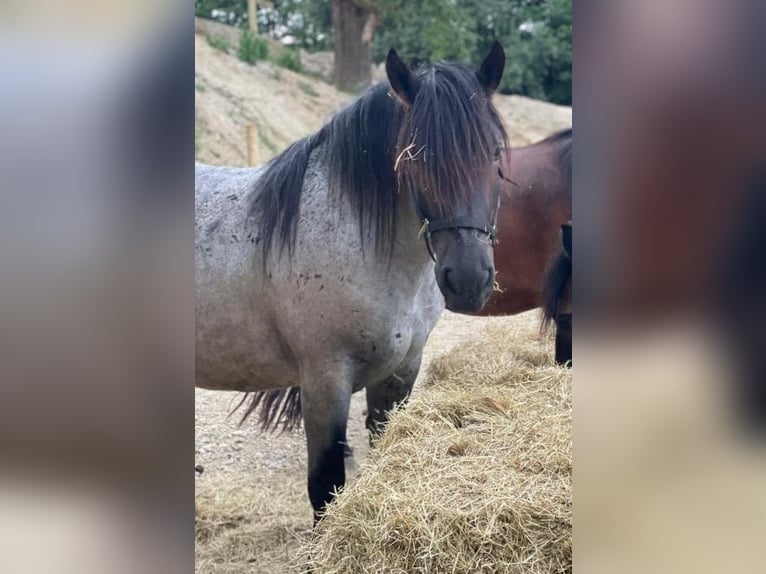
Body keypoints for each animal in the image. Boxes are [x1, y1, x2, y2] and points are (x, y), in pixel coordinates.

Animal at [196, 45, 510, 520]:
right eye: (413, 159)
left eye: (493, 154)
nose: (469, 280)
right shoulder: (325, 381)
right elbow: (325, 486)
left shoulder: (399, 374)